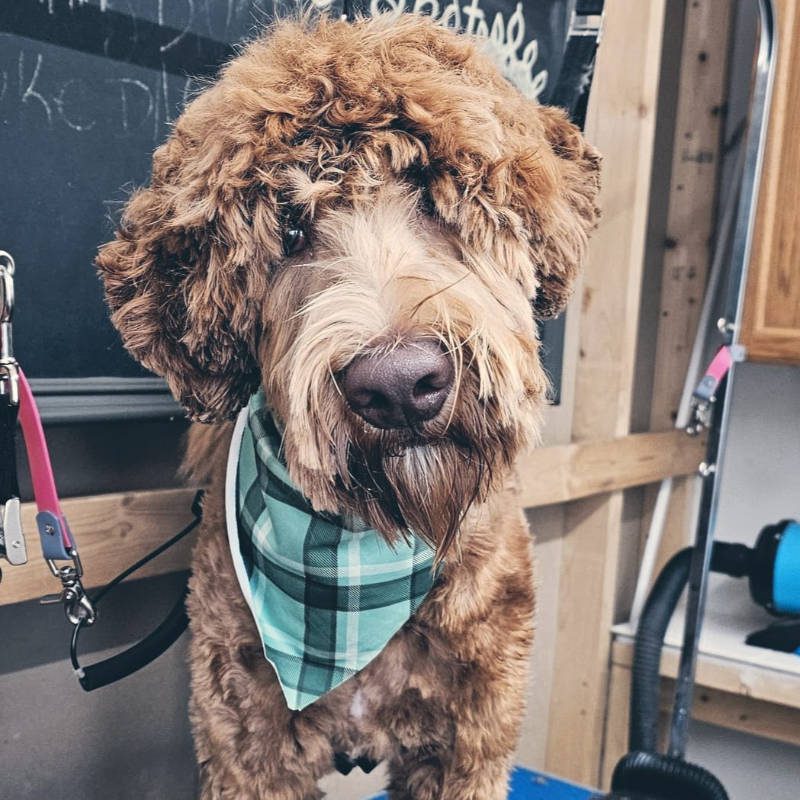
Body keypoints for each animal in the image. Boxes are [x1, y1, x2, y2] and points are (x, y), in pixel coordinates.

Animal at [95, 12, 600, 800]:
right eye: (291, 230)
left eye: (432, 193)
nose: (399, 386)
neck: (366, 557)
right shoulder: (246, 743)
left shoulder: (470, 739)